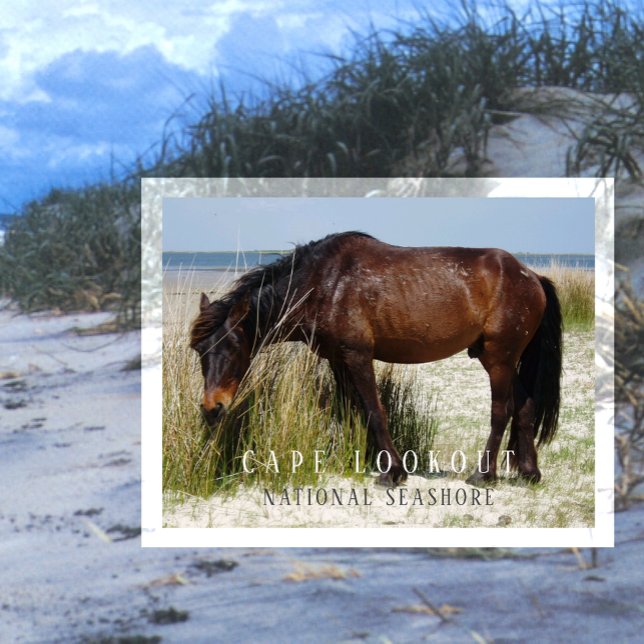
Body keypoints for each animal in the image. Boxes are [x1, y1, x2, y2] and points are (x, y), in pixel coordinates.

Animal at [190, 231, 562, 486]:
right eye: (199, 351)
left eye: (234, 347)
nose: (212, 408)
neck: (323, 281)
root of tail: (531, 276)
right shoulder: (337, 360)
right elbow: (348, 410)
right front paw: (350, 458)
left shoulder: (358, 356)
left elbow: (374, 410)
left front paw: (392, 472)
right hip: (498, 358)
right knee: (525, 406)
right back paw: (529, 471)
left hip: (499, 358)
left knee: (502, 411)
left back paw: (483, 475)